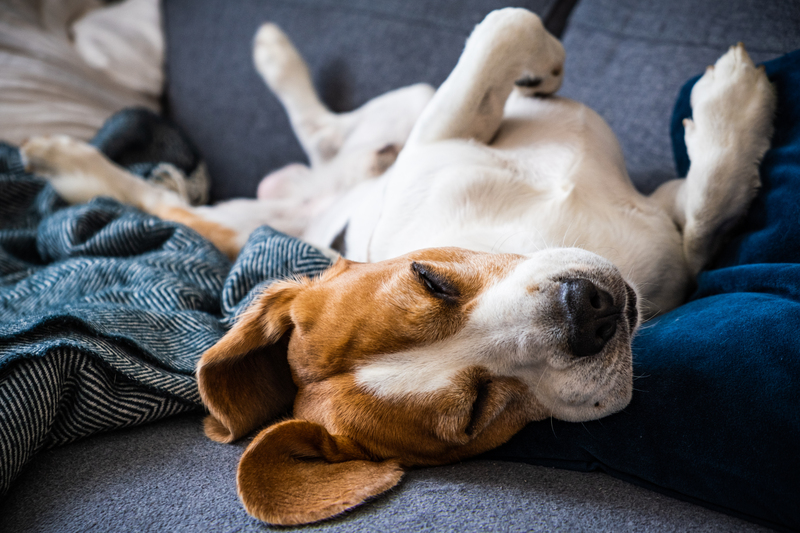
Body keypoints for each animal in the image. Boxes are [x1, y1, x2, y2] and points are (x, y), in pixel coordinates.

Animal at [20, 6, 776, 524]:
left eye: (429, 279)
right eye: (476, 413)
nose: (587, 313)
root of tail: (307, 202)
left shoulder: (450, 133)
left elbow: (506, 27)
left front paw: (721, 113)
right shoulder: (669, 261)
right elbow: (703, 224)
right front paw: (735, 113)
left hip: (404, 107)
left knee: (324, 132)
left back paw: (269, 58)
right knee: (170, 201)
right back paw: (69, 164)